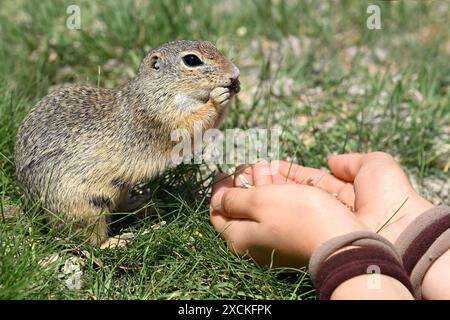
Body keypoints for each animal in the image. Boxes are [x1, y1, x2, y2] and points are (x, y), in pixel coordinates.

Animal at [14, 40, 239, 245]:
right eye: (191, 60)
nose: (235, 74)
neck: (157, 91)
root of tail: (32, 205)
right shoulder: (162, 118)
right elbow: (192, 124)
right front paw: (217, 98)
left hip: (119, 189)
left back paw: (146, 205)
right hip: (83, 205)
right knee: (87, 239)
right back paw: (115, 242)